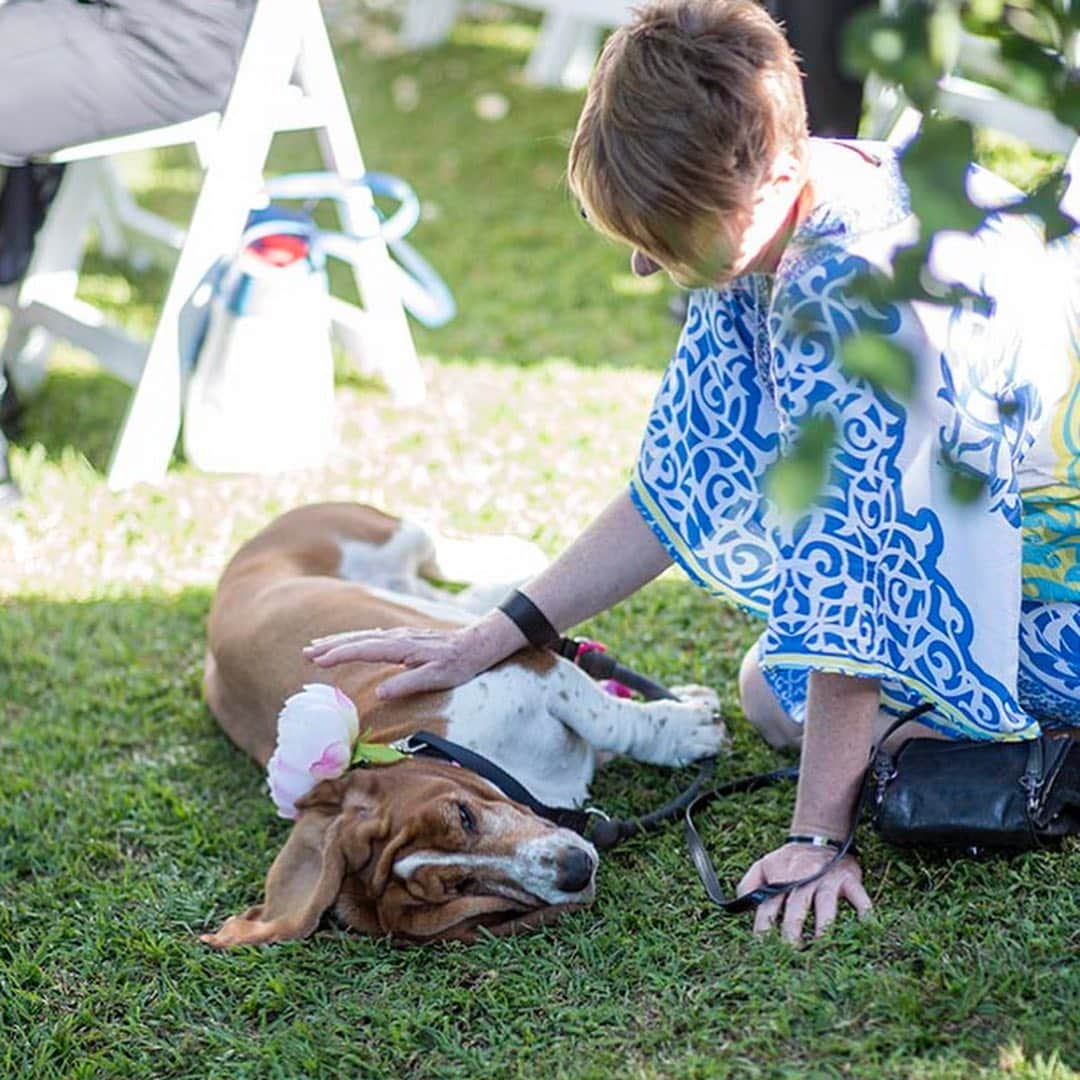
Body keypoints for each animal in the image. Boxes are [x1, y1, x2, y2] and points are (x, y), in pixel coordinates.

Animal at [201, 503, 725, 946]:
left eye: (463, 815)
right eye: (462, 885)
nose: (574, 869)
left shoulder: (536, 671)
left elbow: (612, 720)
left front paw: (691, 727)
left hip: (390, 537)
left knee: (441, 552)